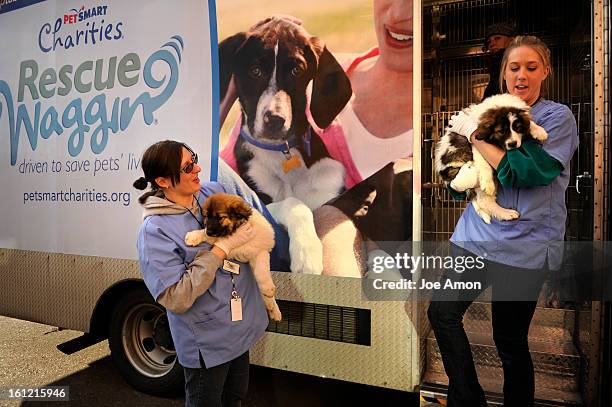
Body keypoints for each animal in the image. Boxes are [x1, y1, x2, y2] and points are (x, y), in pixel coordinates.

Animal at [186, 193, 282, 324]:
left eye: (220, 217)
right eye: (206, 216)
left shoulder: (259, 251)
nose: (209, 231)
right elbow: (206, 235)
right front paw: (194, 236)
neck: (237, 228)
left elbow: (262, 272)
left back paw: (273, 308)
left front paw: (268, 290)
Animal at [220, 18, 354, 274]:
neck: (282, 153)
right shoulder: (261, 202)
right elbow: (294, 203)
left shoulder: (329, 195)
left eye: (296, 70)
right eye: (255, 70)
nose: (274, 119)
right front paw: (307, 253)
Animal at [436, 94, 548, 225]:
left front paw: (539, 131)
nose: (512, 144)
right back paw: (506, 213)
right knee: (484, 200)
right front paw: (487, 183)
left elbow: (529, 122)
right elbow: (484, 164)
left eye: (518, 128)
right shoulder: (476, 144)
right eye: (501, 131)